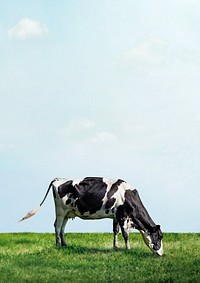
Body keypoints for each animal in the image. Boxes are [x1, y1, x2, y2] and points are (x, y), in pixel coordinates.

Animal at [19, 176, 164, 256]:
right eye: (159, 236)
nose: (162, 253)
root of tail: (59, 179)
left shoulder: (116, 216)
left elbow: (115, 231)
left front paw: (116, 247)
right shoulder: (123, 216)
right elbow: (125, 234)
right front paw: (128, 249)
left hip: (67, 212)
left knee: (63, 228)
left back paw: (65, 244)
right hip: (60, 211)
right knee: (57, 226)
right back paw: (58, 245)